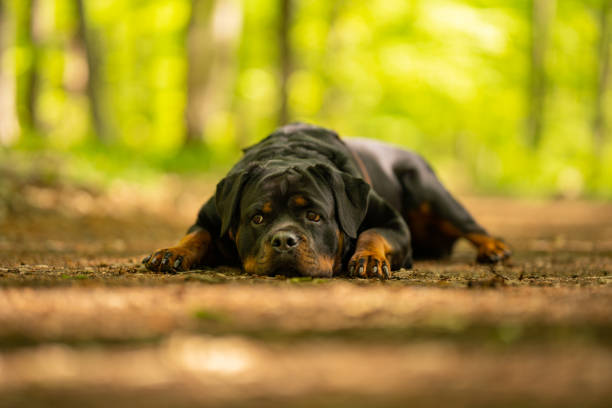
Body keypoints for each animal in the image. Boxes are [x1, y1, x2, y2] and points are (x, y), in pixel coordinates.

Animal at [141, 122, 510, 278]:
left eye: (315, 216)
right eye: (257, 218)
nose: (284, 241)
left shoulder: (394, 224)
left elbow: (372, 232)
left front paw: (368, 258)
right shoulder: (211, 214)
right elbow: (197, 235)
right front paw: (172, 252)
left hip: (428, 188)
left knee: (470, 223)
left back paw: (494, 248)